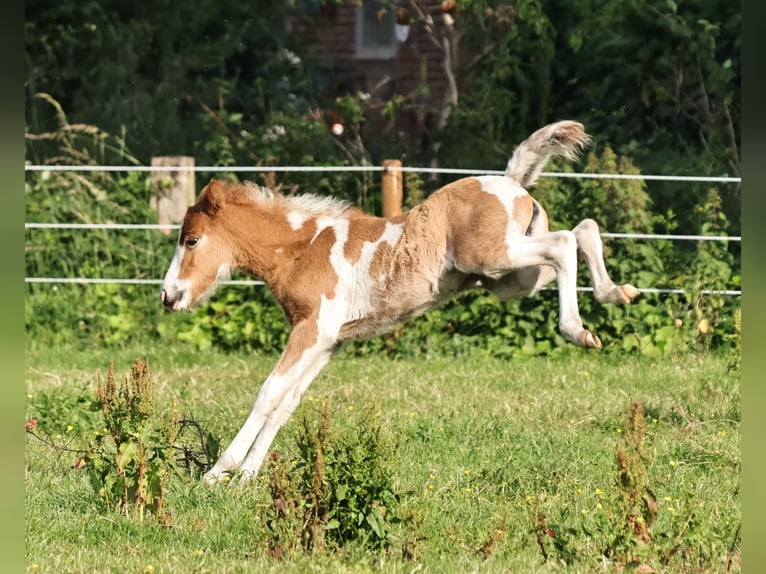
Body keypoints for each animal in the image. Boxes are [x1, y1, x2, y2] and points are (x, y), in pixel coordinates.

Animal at [160, 120, 639, 485]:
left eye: (192, 240)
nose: (168, 295)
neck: (303, 248)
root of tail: (508, 181)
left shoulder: (312, 328)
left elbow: (267, 394)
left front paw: (216, 475)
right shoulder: (328, 342)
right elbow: (286, 402)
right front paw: (245, 479)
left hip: (493, 257)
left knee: (564, 243)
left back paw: (578, 329)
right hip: (510, 278)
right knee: (582, 232)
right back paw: (615, 294)